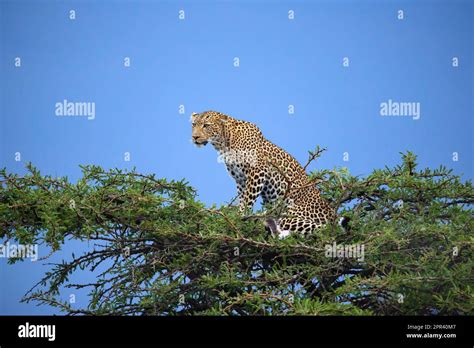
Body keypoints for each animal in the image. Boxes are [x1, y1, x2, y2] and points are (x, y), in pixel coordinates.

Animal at [192, 110, 344, 238]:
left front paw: (240, 218)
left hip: (291, 215)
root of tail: (332, 213)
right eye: (193, 125)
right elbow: (243, 198)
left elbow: (248, 199)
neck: (224, 142)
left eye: (206, 125)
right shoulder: (240, 179)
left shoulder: (257, 171)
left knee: (322, 229)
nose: (194, 137)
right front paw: (240, 217)